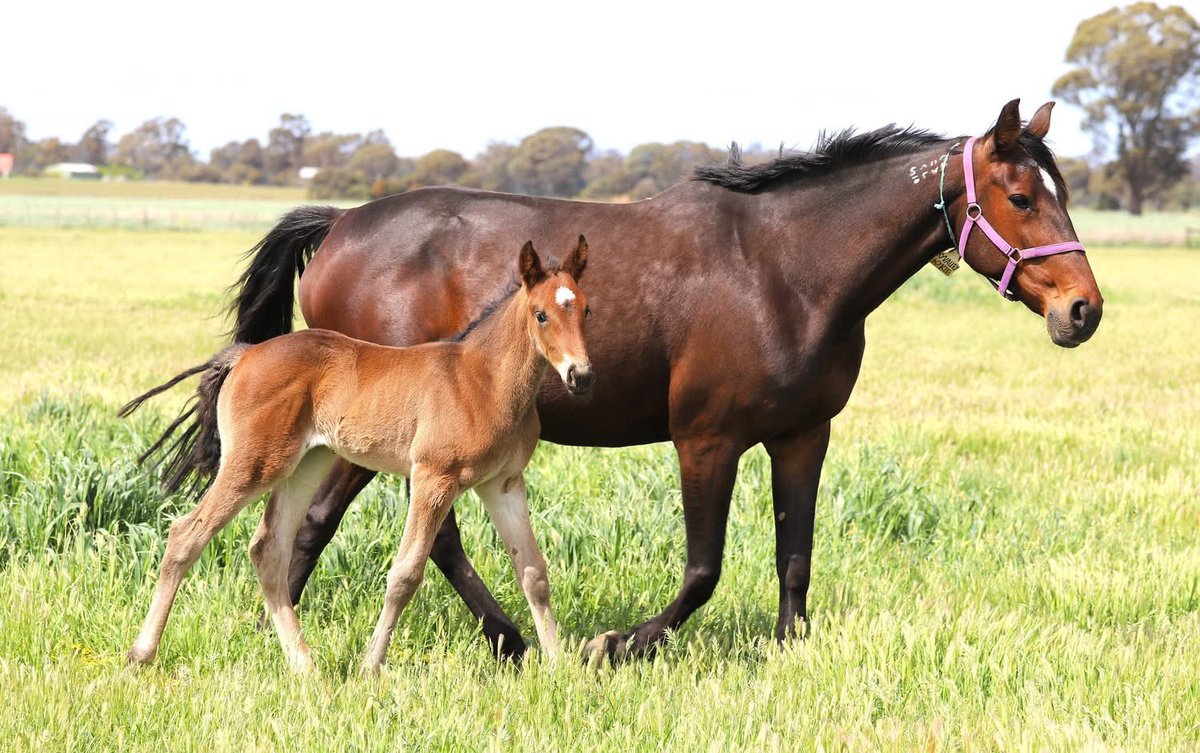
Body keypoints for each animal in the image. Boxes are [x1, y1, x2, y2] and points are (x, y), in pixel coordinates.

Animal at [122, 238, 592, 673]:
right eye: (541, 314)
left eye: (586, 310)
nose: (581, 376)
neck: (483, 380)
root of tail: (246, 354)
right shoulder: (434, 477)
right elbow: (405, 574)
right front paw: (370, 666)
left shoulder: (503, 483)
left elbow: (533, 572)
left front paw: (561, 668)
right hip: (255, 463)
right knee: (187, 534)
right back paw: (142, 653)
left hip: (304, 465)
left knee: (268, 549)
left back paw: (304, 666)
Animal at [223, 99, 1103, 663]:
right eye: (1021, 197)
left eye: (1061, 192)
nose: (1083, 310)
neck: (785, 268)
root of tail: (340, 222)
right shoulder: (706, 439)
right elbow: (703, 570)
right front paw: (618, 644)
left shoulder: (802, 436)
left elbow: (795, 555)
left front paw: (789, 649)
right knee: (353, 527)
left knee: (387, 532)